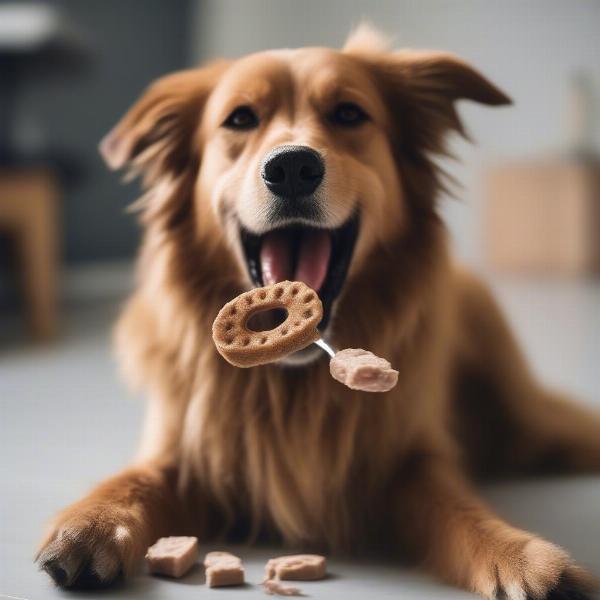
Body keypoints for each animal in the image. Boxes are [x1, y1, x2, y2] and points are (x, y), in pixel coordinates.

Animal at [36, 24, 600, 600]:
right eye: (240, 118)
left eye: (349, 114)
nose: (291, 167)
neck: (290, 387)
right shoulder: (181, 449)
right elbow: (136, 481)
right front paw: (93, 524)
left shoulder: (411, 459)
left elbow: (460, 508)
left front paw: (523, 557)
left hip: (526, 410)